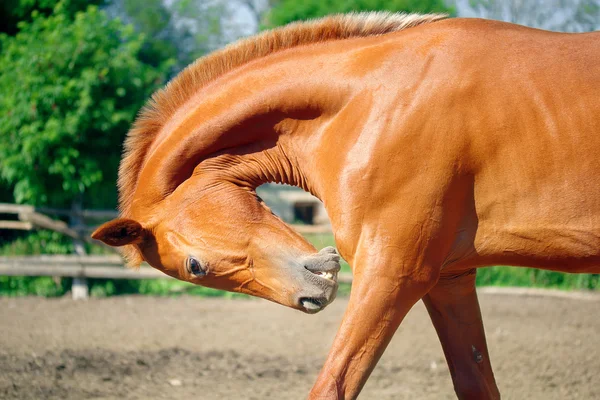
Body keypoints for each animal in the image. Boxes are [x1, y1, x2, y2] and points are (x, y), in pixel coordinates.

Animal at [91, 12, 596, 400]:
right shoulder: (450, 280)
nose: (312, 294)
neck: (371, 102)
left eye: (193, 266)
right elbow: (476, 384)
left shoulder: (393, 273)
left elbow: (331, 387)